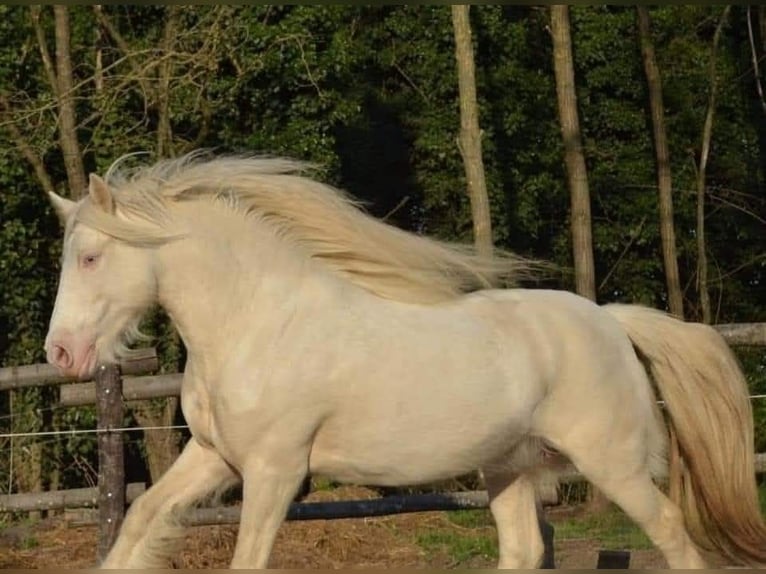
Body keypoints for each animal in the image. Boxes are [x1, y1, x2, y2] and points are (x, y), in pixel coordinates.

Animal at [46, 154, 766, 572]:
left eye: (90, 257)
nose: (60, 354)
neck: (259, 324)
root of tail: (612, 321)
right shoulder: (214, 457)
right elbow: (139, 521)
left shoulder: (276, 471)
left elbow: (246, 559)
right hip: (508, 466)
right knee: (523, 548)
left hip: (611, 462)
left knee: (671, 532)